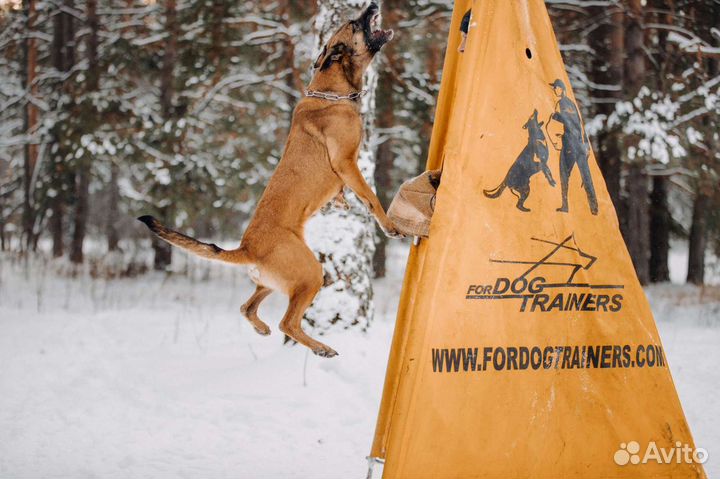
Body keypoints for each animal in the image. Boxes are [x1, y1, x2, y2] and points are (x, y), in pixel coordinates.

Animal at [139, 2, 400, 356]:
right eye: (353, 24)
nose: (373, 6)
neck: (331, 92)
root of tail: (246, 248)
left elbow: (348, 193)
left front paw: (342, 202)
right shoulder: (347, 162)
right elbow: (370, 197)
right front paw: (388, 225)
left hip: (272, 282)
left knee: (247, 308)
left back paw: (262, 328)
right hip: (310, 273)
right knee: (287, 323)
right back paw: (321, 347)